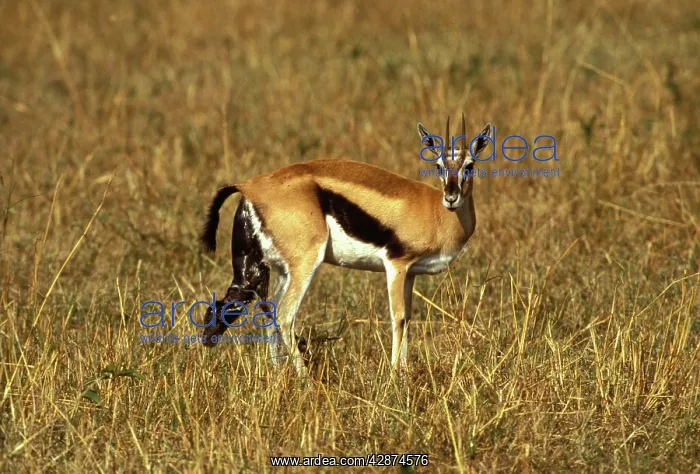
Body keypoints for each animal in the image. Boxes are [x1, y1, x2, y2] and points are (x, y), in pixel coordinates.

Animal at [199, 114, 492, 375]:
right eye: (439, 165)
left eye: (469, 165)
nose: (451, 197)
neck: (436, 212)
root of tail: (248, 187)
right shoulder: (396, 265)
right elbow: (397, 318)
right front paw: (394, 375)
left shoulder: (410, 274)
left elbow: (408, 318)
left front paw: (405, 371)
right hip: (304, 264)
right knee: (283, 314)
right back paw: (304, 378)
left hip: (273, 270)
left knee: (265, 312)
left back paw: (276, 371)